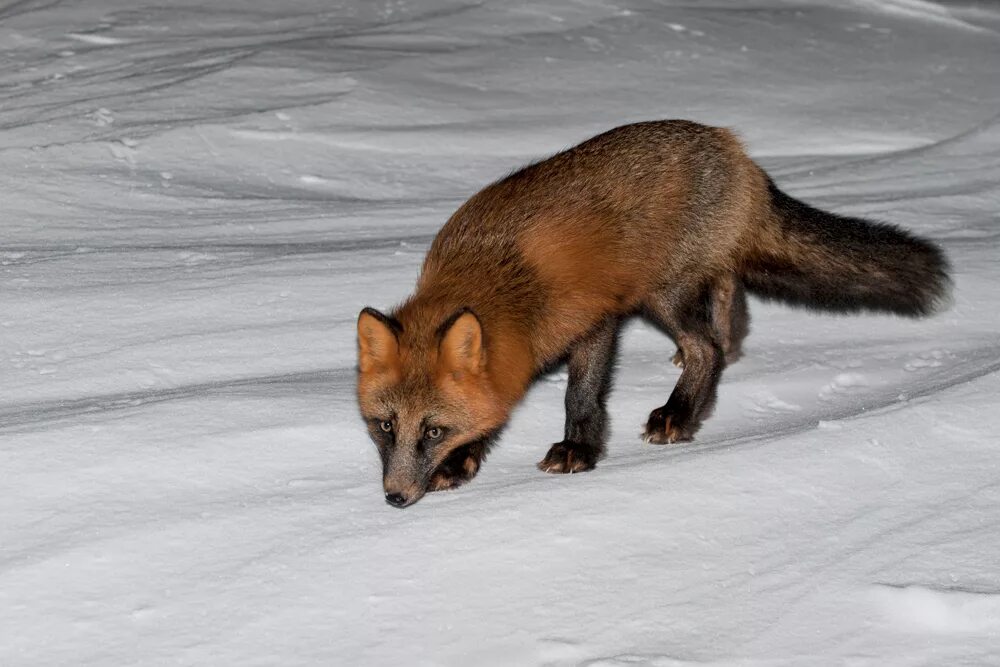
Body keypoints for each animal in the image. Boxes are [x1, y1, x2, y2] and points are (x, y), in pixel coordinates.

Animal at [356, 120, 948, 508]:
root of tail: (733, 146)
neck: (499, 273)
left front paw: (577, 450)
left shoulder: (595, 318)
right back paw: (724, 347)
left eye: (432, 431)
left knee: (706, 347)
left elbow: (580, 396)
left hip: (663, 292)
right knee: (726, 302)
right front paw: (464, 461)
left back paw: (679, 414)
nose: (395, 497)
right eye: (385, 426)